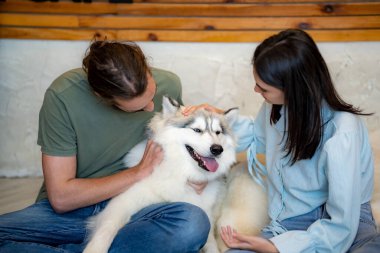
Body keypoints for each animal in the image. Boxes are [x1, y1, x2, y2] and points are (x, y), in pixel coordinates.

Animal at [84, 96, 238, 252]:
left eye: (218, 132)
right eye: (197, 130)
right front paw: (95, 249)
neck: (181, 173)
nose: (217, 149)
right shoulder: (123, 201)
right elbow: (107, 228)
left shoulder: (206, 212)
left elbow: (211, 244)